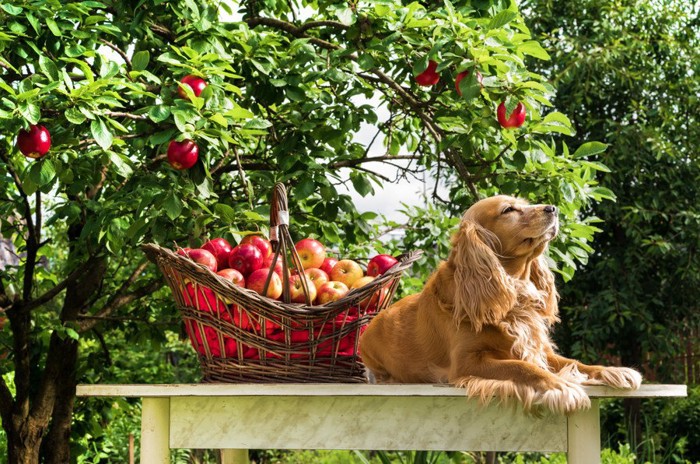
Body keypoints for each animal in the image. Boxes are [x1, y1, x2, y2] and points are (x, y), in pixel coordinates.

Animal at [358, 195, 644, 414]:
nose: (553, 208)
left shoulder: (538, 349)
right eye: (509, 210)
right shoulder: (467, 362)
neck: (513, 291)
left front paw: (612, 370)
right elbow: (522, 367)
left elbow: (574, 362)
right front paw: (561, 386)